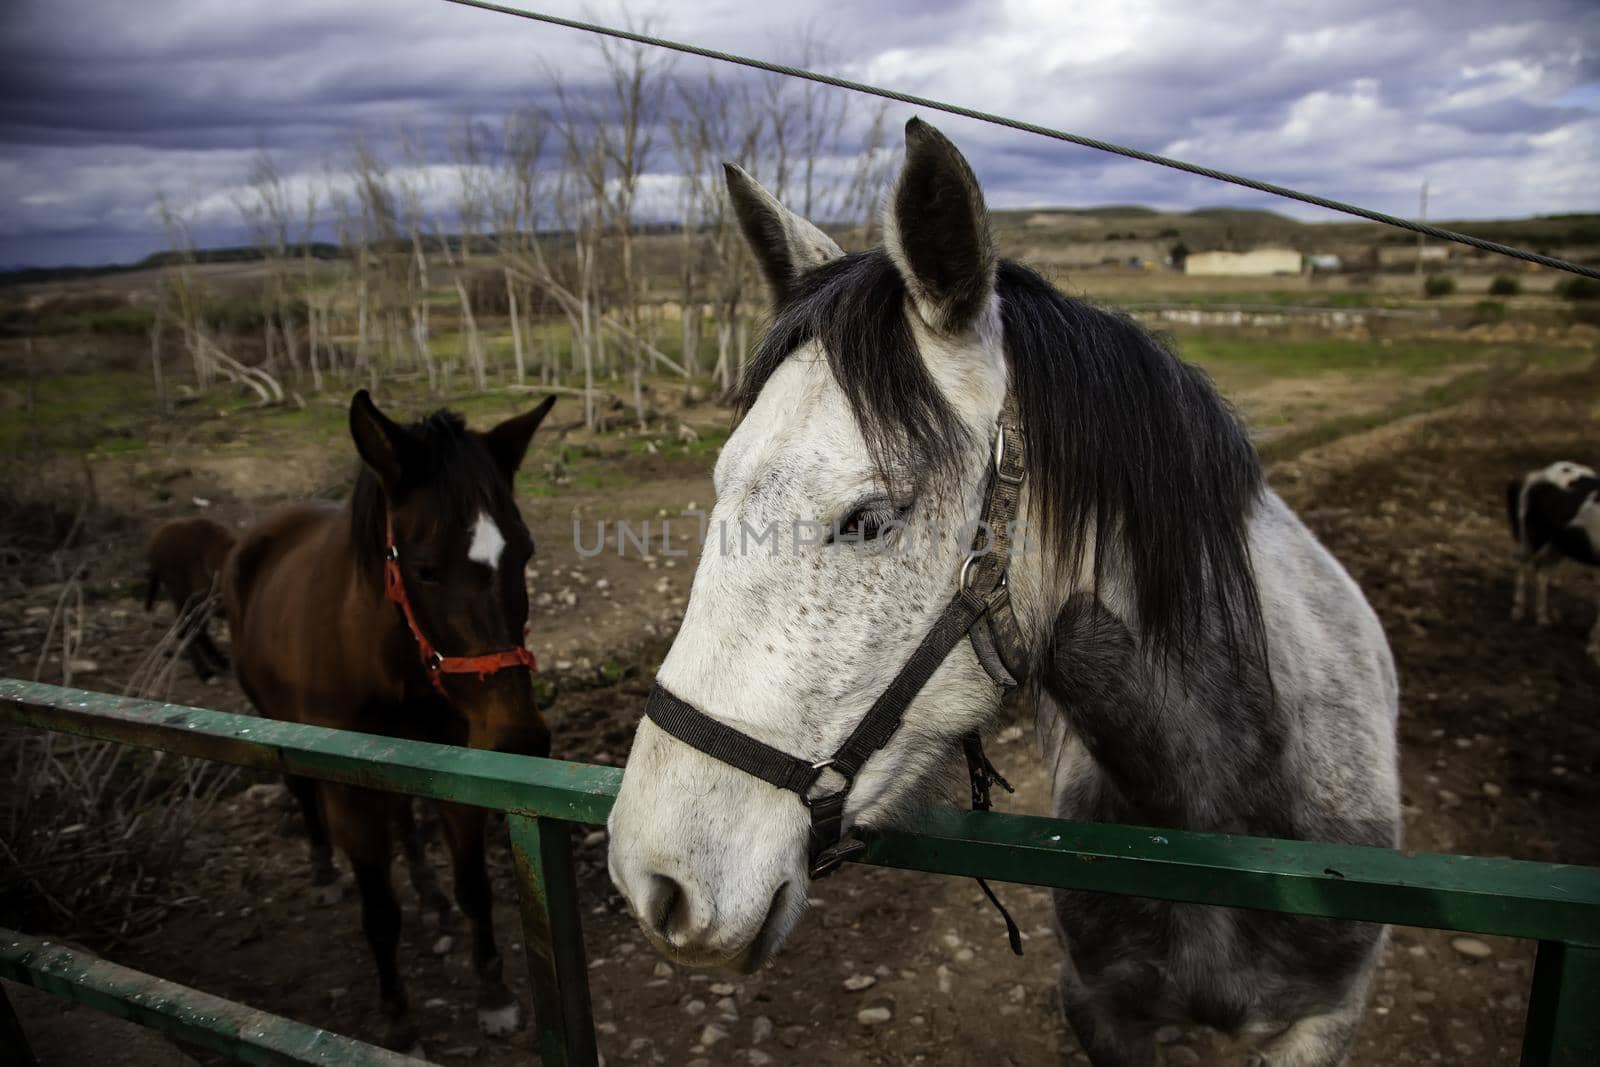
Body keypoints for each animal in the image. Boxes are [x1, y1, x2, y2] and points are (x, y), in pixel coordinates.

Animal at [145, 518, 235, 684]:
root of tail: (155, 540)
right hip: (181, 593)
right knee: (186, 629)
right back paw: (205, 671)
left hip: (196, 600)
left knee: (197, 629)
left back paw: (219, 661)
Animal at [220, 388, 556, 1055]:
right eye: (425, 569)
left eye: (524, 553)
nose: (520, 737)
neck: (385, 659)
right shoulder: (348, 793)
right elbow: (379, 913)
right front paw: (399, 1021)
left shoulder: (455, 769)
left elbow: (474, 885)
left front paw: (494, 993)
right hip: (272, 720)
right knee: (302, 793)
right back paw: (325, 870)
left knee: (402, 811)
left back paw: (428, 891)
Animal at [604, 119, 1395, 1067]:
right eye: (720, 485)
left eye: (868, 519)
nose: (654, 877)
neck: (1227, 829)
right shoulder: (1100, 1006)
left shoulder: (1327, 1021)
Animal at [1504, 460, 1593, 659]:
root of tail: (1538, 474)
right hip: (1534, 537)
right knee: (1526, 564)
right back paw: (1520, 611)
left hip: (1557, 544)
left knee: (1542, 571)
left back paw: (1543, 616)